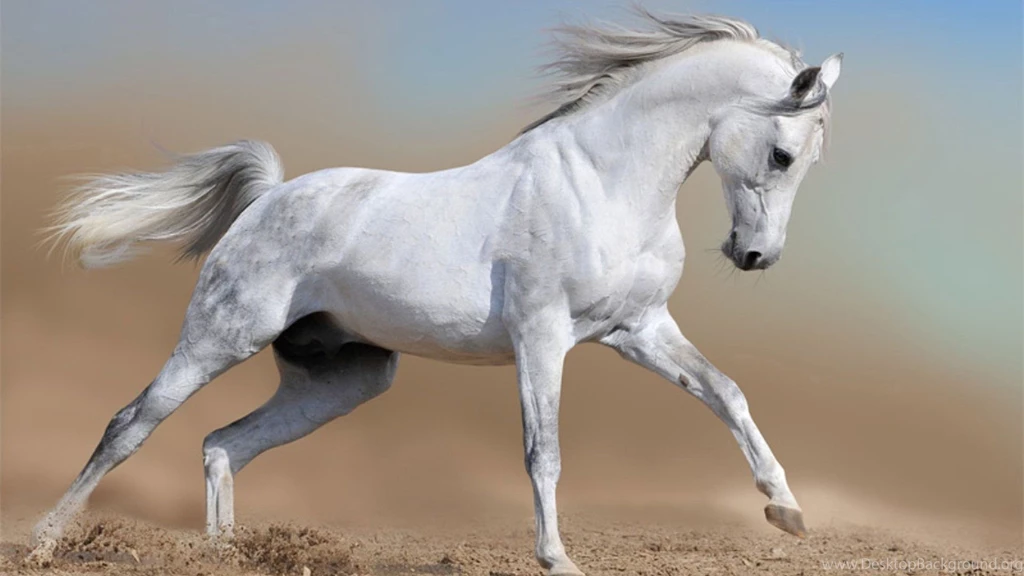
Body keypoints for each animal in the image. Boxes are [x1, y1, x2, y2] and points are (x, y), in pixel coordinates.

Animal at [30, 10, 842, 574]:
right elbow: (543, 451)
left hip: (343, 379)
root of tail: (266, 198)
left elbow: (726, 393)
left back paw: (226, 553)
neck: (603, 181)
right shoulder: (542, 337)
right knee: (131, 425)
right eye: (782, 154)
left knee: (223, 444)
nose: (755, 255)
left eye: (806, 161)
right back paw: (43, 541)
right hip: (219, 337)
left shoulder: (638, 329)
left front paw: (787, 511)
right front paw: (558, 558)